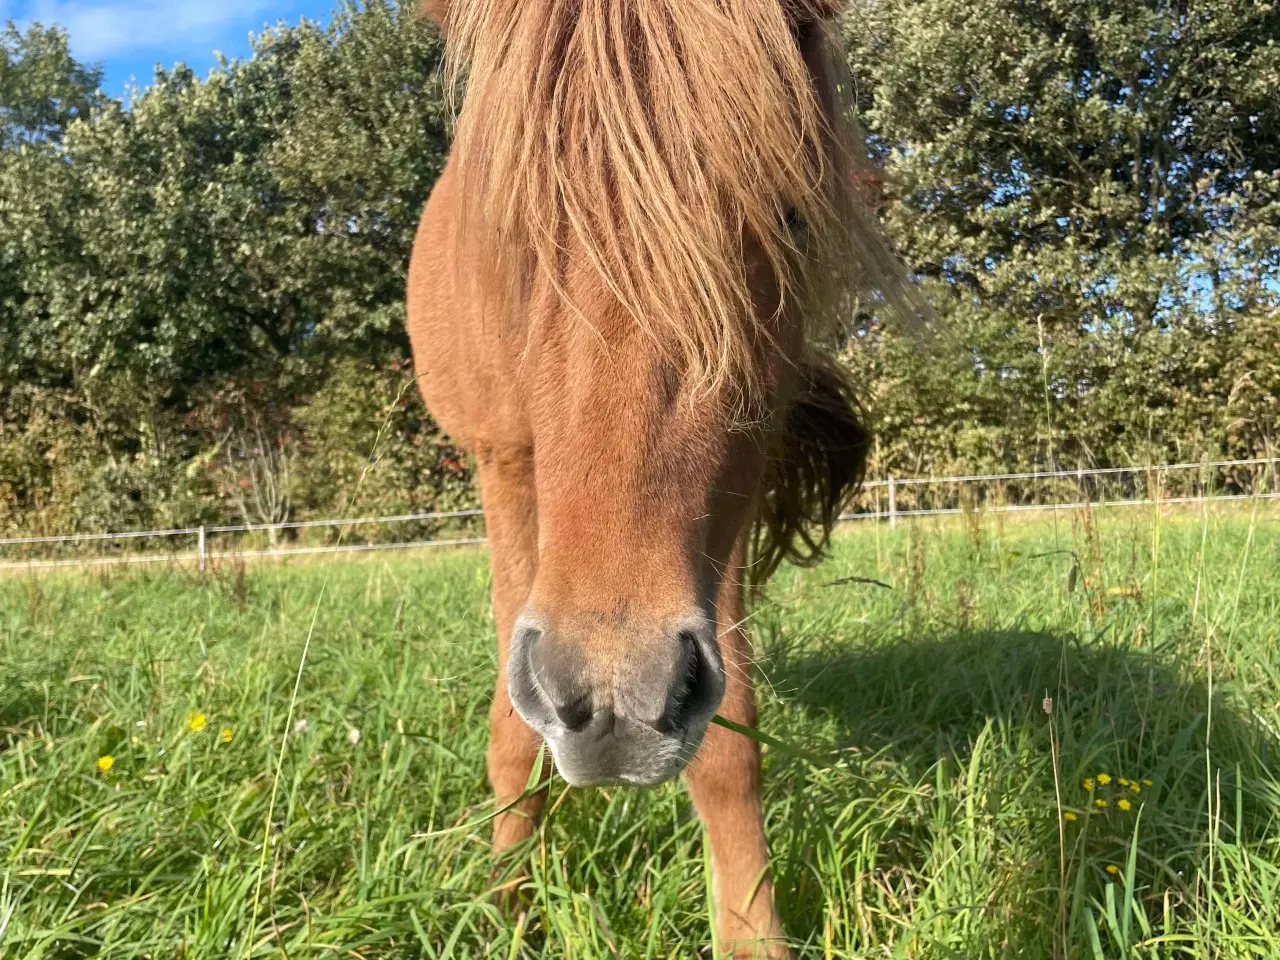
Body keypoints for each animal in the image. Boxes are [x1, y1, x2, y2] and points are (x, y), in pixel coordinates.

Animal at [407, 1, 901, 957]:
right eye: (509, 227)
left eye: (788, 214)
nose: (610, 701)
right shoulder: (504, 465)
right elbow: (510, 733)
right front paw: (505, 908)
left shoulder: (736, 488)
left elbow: (729, 740)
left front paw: (750, 932)